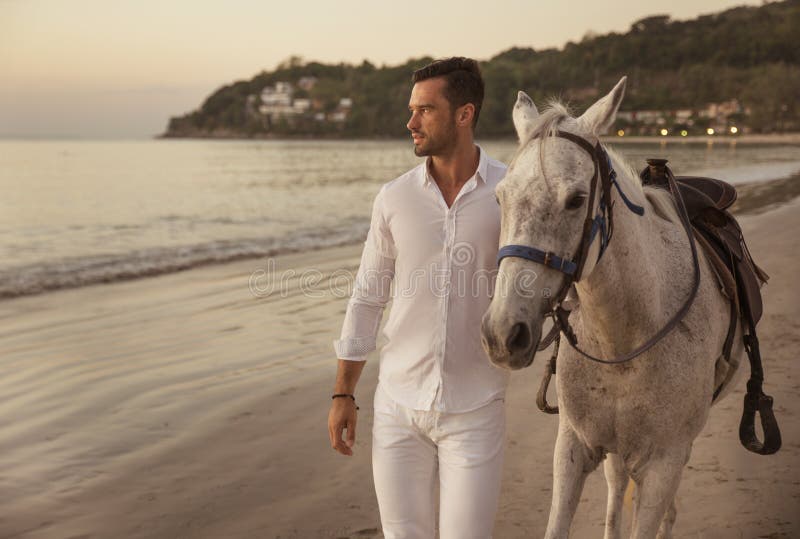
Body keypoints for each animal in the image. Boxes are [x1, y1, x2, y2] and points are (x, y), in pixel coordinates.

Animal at [478, 78, 748, 536]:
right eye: (499, 199)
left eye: (576, 199)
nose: (502, 334)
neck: (623, 341)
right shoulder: (573, 448)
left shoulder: (663, 463)